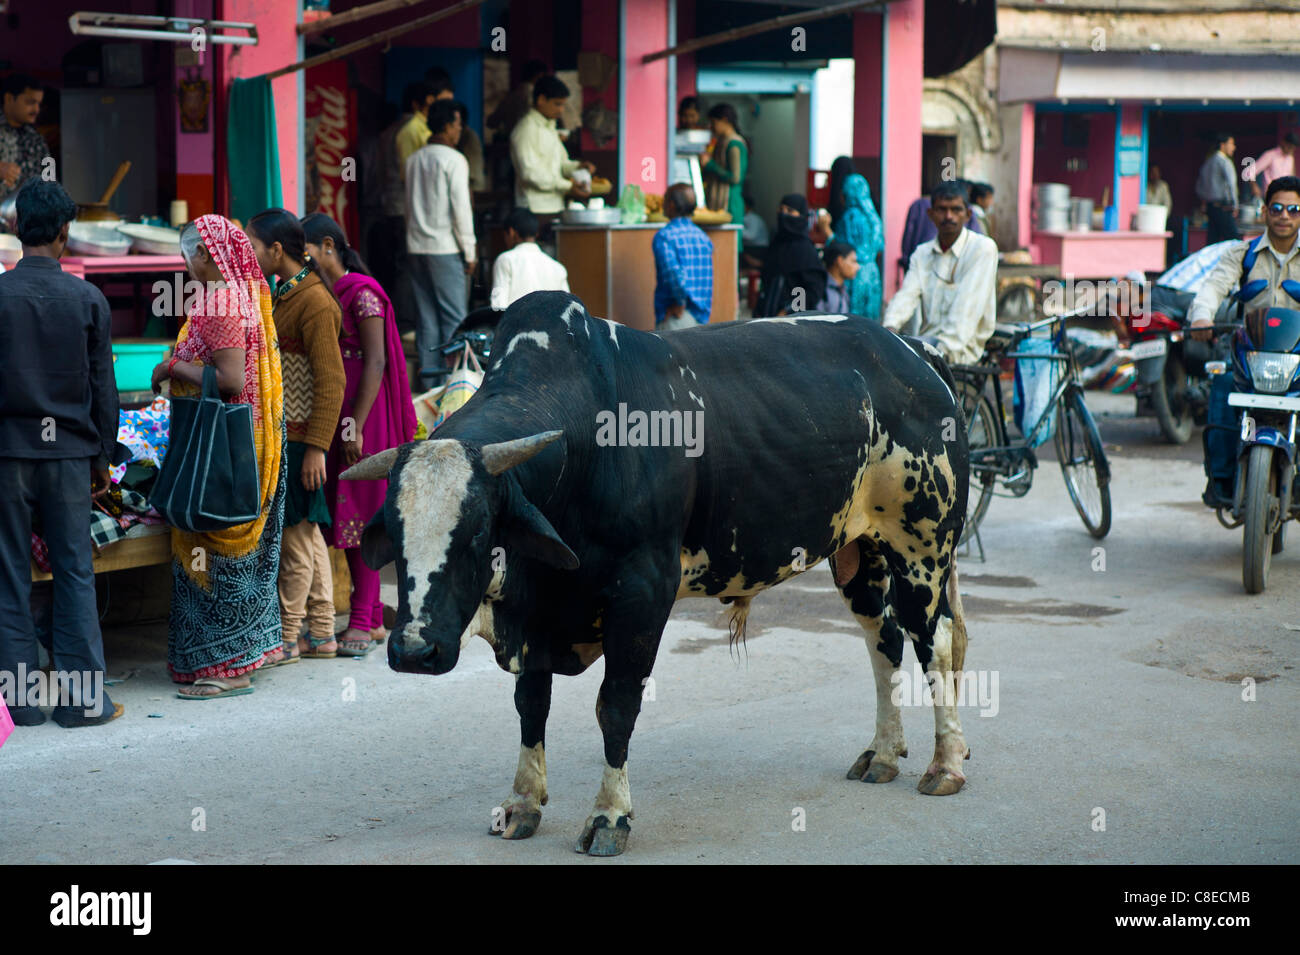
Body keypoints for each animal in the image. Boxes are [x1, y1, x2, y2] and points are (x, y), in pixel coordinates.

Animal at [340, 293, 972, 857]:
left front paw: (608, 816)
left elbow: (615, 707)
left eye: (474, 533)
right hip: (861, 551)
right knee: (884, 640)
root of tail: (912, 349)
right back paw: (883, 753)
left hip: (922, 548)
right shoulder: (536, 609)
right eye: (394, 534)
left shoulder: (642, 594)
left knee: (935, 644)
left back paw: (945, 763)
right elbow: (531, 703)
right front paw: (521, 803)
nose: (414, 649)